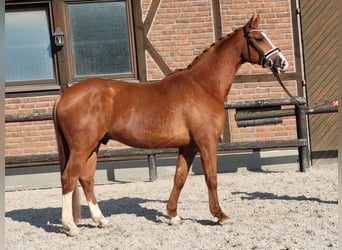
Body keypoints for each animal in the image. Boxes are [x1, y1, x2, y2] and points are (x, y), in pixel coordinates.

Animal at [53, 13, 288, 236]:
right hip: (81, 148)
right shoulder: (207, 143)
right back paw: (70, 226)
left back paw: (101, 220)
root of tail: (63, 97)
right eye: (259, 38)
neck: (203, 86)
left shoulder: (189, 146)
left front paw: (173, 215)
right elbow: (211, 178)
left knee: (86, 179)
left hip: (93, 147)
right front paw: (220, 216)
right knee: (68, 178)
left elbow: (179, 178)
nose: (282, 62)